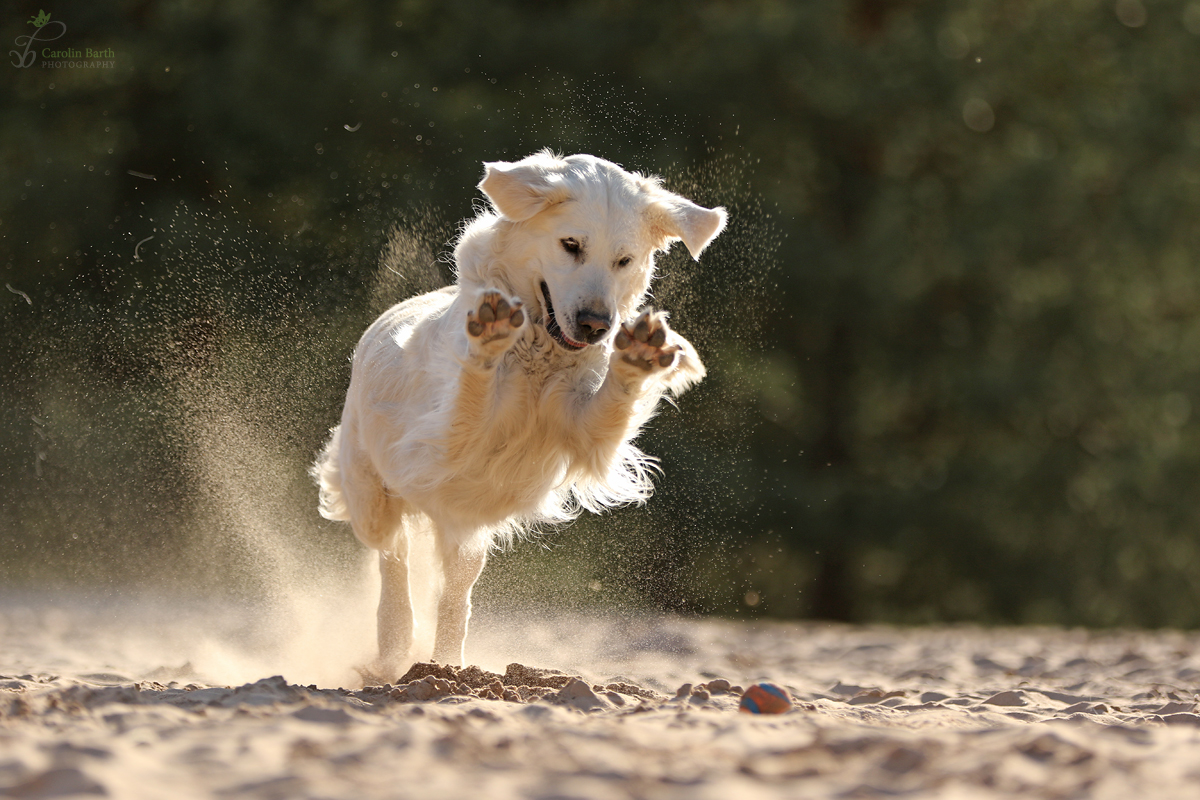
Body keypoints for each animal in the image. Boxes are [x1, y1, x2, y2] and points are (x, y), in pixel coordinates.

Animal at [312, 149, 720, 676]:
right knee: (393, 556)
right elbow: (470, 397)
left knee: (453, 592)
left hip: (465, 535)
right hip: (370, 493)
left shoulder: (584, 428)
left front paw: (640, 352)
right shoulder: (441, 447)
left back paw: (447, 663)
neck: (539, 355)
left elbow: (611, 405)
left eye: (624, 260)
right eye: (571, 245)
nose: (595, 325)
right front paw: (488, 334)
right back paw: (394, 650)